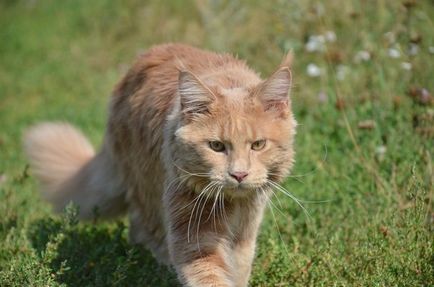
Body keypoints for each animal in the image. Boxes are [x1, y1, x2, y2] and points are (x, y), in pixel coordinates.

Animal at [22, 43, 294, 287]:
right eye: (216, 146)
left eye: (258, 145)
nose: (239, 174)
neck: (232, 204)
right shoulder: (194, 233)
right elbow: (209, 275)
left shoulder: (245, 231)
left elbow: (239, 269)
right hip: (148, 191)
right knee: (145, 232)